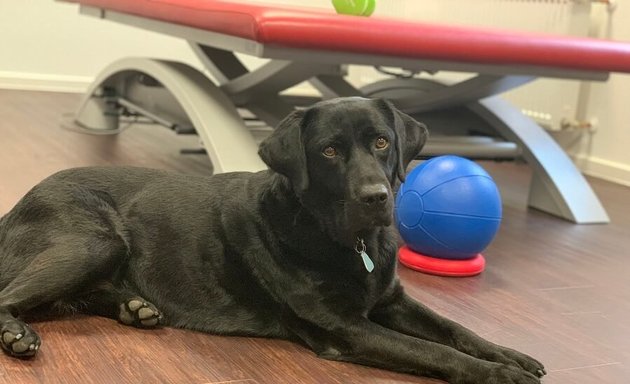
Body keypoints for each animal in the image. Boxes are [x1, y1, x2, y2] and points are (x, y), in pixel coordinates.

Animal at [0, 99, 544, 384]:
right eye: (329, 151)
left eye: (382, 142)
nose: (376, 196)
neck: (350, 243)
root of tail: (17, 204)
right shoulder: (345, 328)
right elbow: (433, 351)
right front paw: (501, 374)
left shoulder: (392, 299)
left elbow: (455, 330)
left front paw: (508, 355)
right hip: (94, 243)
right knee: (11, 296)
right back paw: (17, 334)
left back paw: (136, 308)